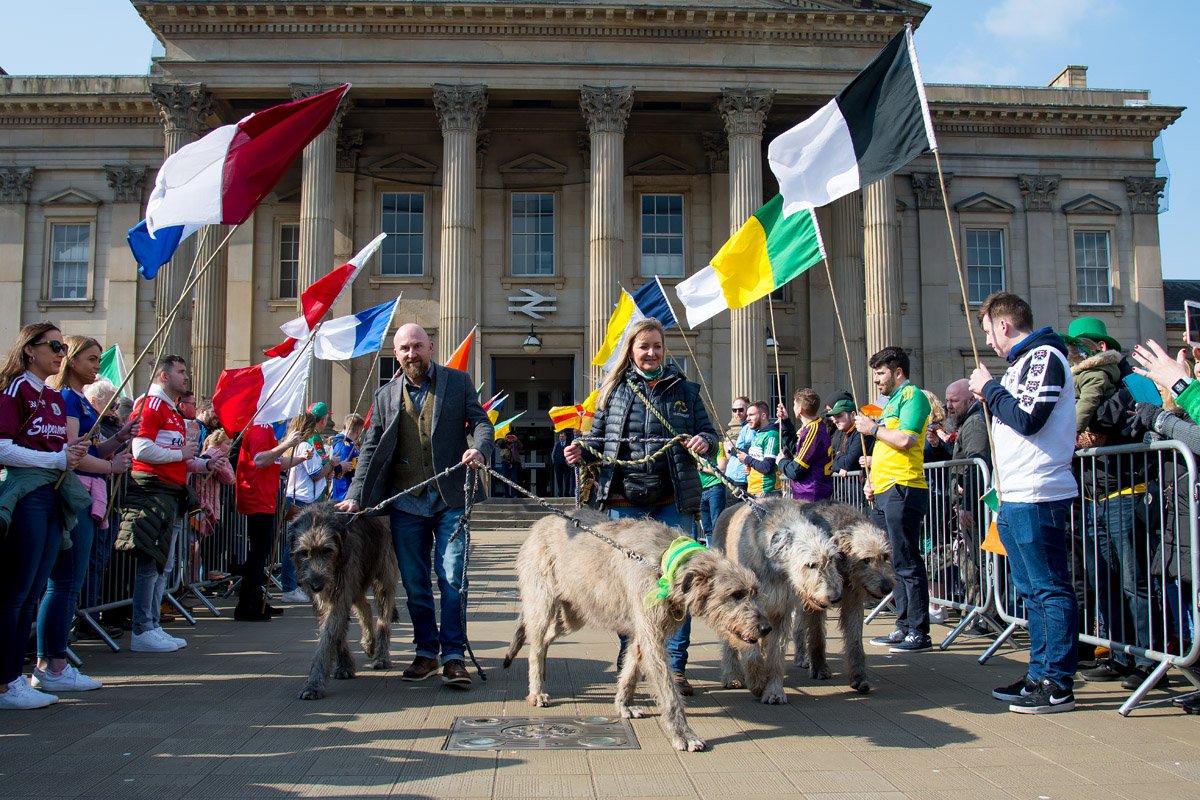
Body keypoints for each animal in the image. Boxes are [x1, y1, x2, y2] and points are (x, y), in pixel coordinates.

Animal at [288, 506, 400, 700]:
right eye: (304, 552)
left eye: (327, 550)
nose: (316, 586)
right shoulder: (327, 595)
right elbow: (335, 630)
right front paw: (345, 665)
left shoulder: (342, 582)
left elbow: (329, 635)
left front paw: (314, 684)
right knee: (365, 607)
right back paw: (369, 642)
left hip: (383, 571)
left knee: (383, 616)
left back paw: (381, 656)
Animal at [499, 510, 768, 753]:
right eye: (735, 594)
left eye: (755, 592)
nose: (766, 628)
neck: (664, 564)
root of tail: (541, 522)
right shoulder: (651, 632)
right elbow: (668, 692)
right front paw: (684, 734)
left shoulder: (644, 631)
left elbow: (630, 669)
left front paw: (623, 705)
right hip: (543, 601)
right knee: (536, 643)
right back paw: (536, 691)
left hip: (574, 612)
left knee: (545, 639)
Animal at [710, 496, 844, 705]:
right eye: (810, 564)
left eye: (831, 559)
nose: (835, 596)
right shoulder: (747, 609)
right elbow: (751, 651)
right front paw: (757, 682)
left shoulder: (780, 611)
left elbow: (775, 654)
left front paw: (773, 691)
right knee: (728, 641)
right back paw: (732, 676)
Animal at [792, 501, 897, 695]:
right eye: (866, 560)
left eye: (886, 556)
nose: (887, 588)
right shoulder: (817, 601)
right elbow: (817, 636)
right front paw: (820, 669)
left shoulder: (853, 601)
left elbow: (855, 641)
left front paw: (859, 677)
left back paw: (801, 657)